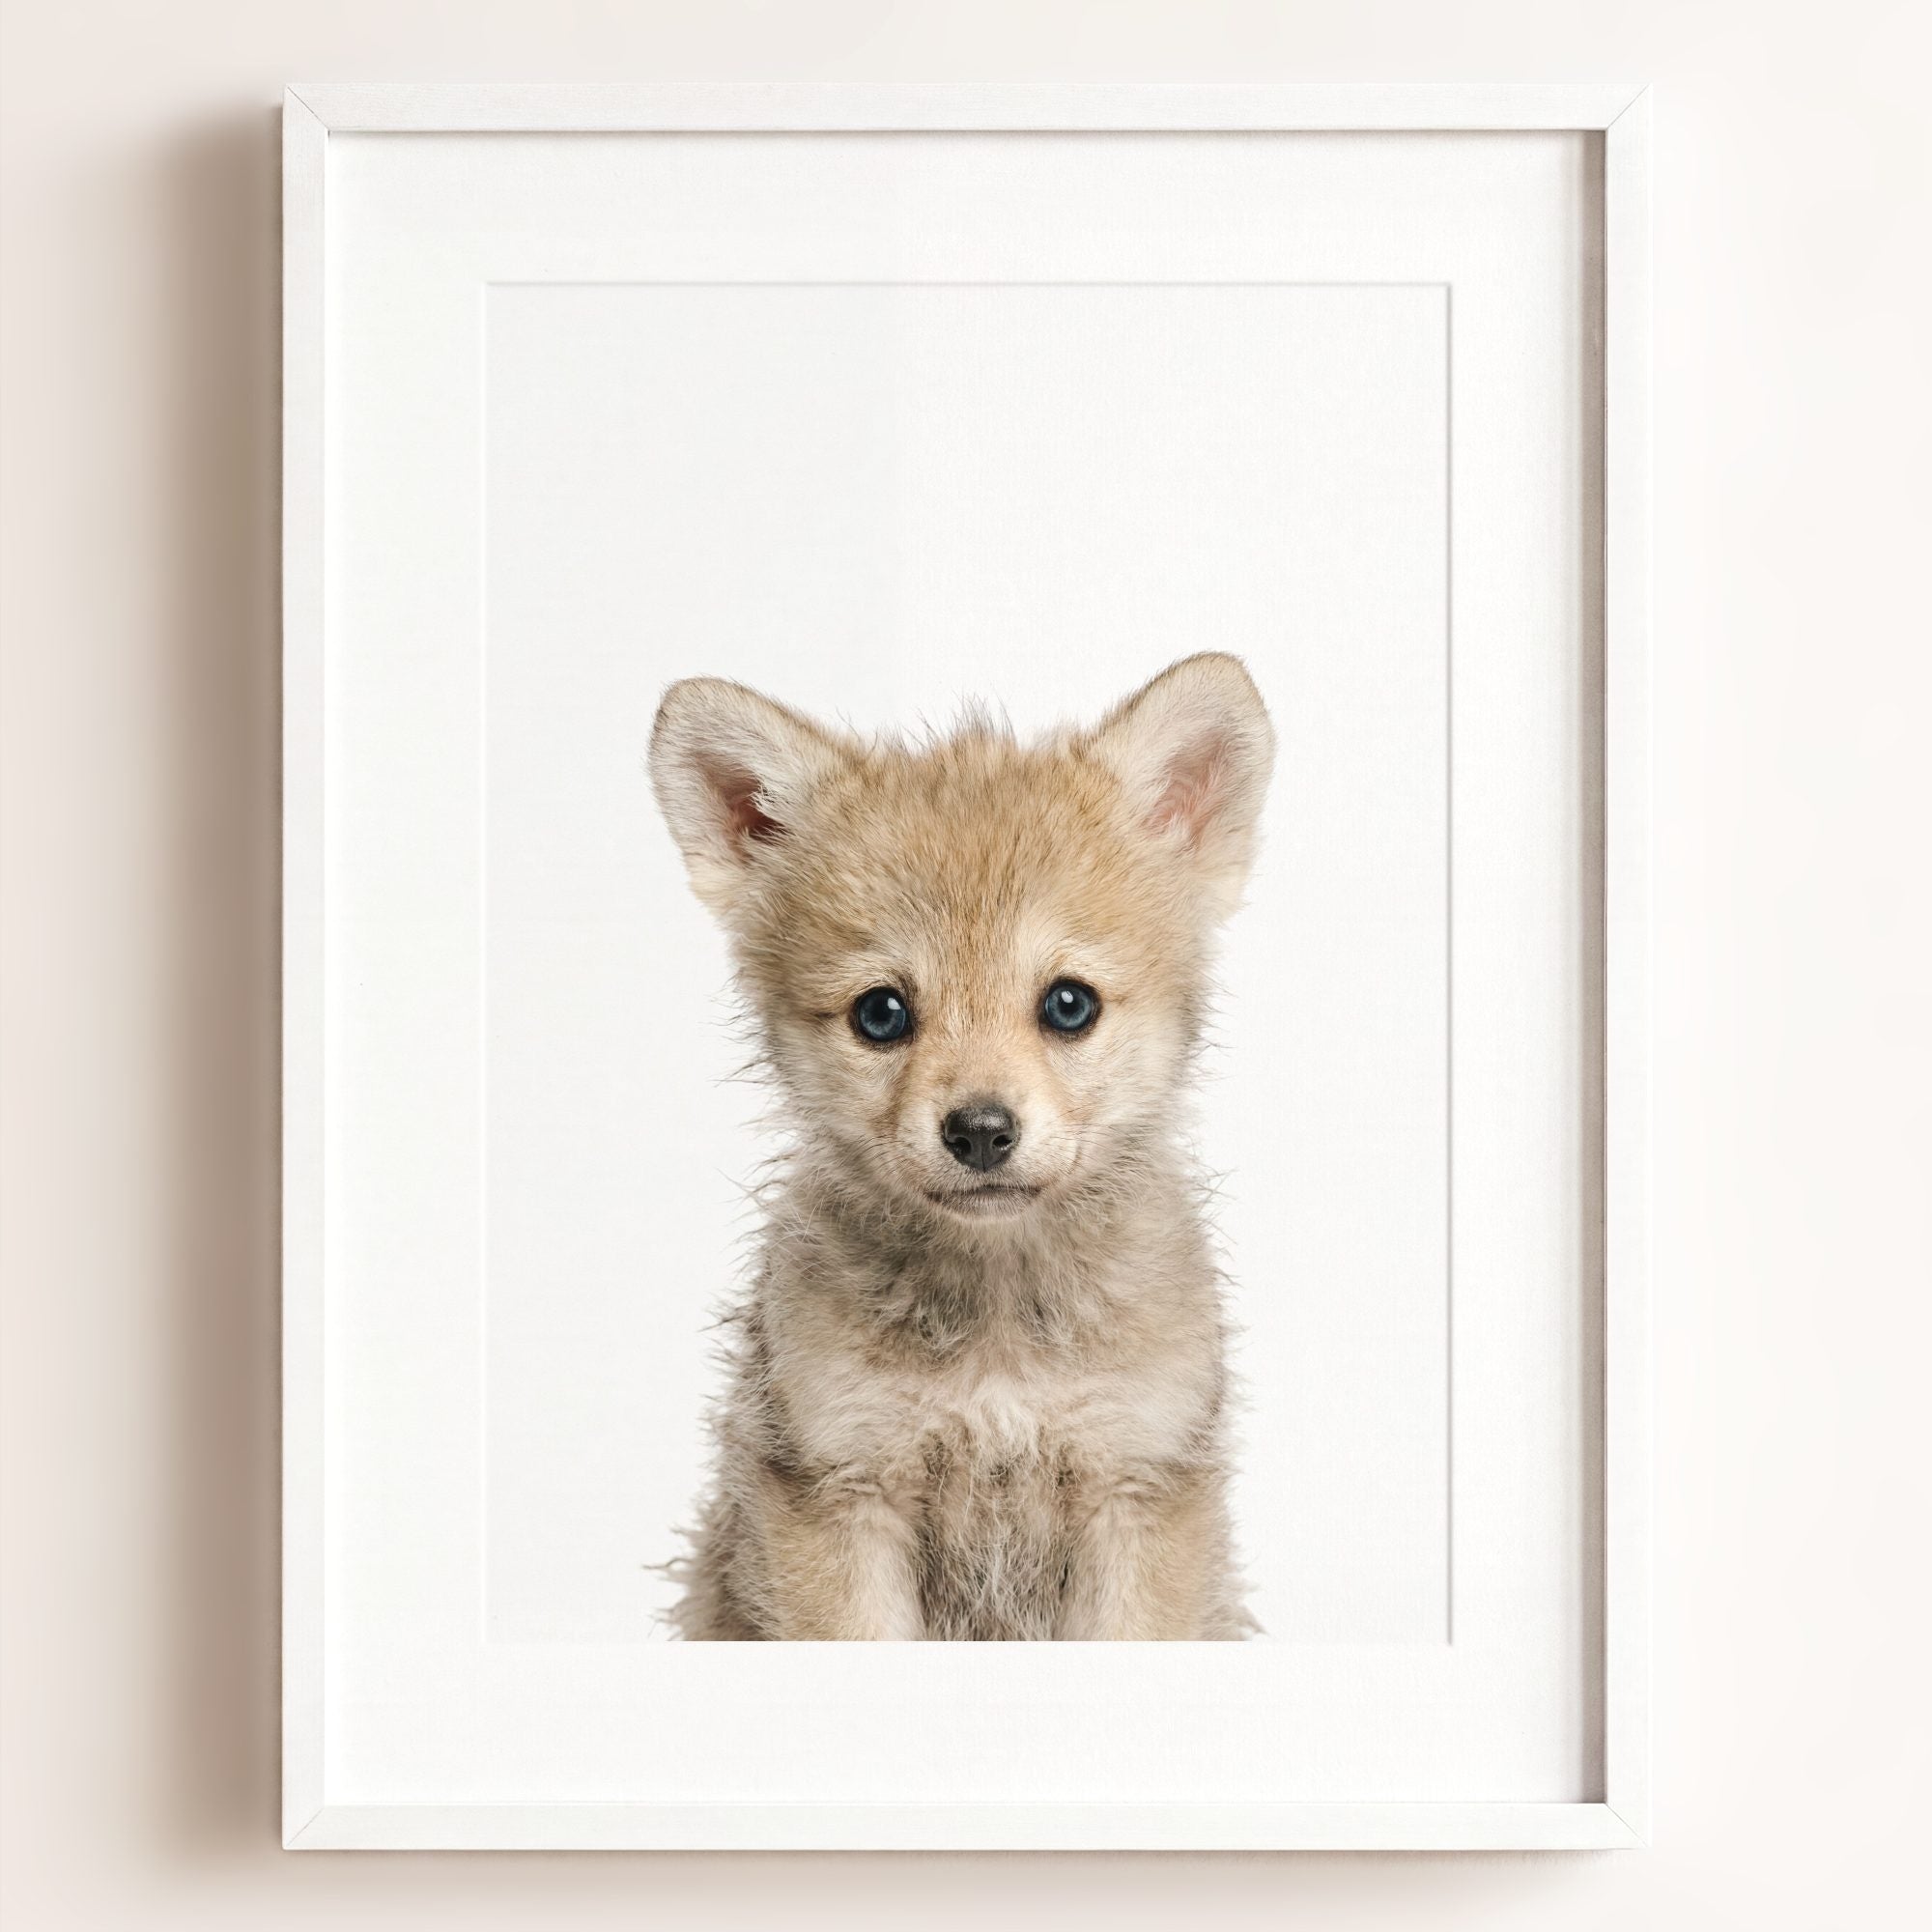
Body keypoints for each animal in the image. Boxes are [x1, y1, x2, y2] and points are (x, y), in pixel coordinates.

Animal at [647, 653, 1273, 1639]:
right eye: (881, 1013)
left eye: (1069, 1004)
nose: (980, 1131)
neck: (998, 1334)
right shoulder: (839, 1489)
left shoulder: (1137, 1486)